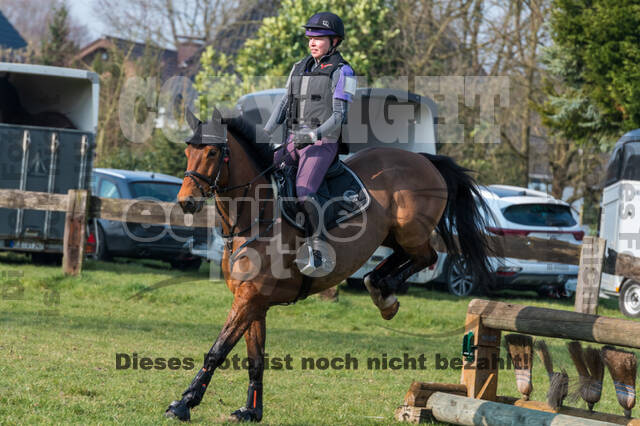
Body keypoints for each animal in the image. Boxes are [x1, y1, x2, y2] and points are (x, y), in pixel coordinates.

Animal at [165, 107, 490, 422]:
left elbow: (217, 351)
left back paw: (384, 293)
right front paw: (251, 411)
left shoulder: (249, 298)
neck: (254, 216)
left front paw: (184, 403)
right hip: (392, 235)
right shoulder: (253, 302)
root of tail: (423, 160)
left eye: (212, 152)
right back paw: (382, 291)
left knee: (427, 257)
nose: (186, 201)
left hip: (411, 231)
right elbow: (255, 359)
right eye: (188, 151)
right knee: (399, 259)